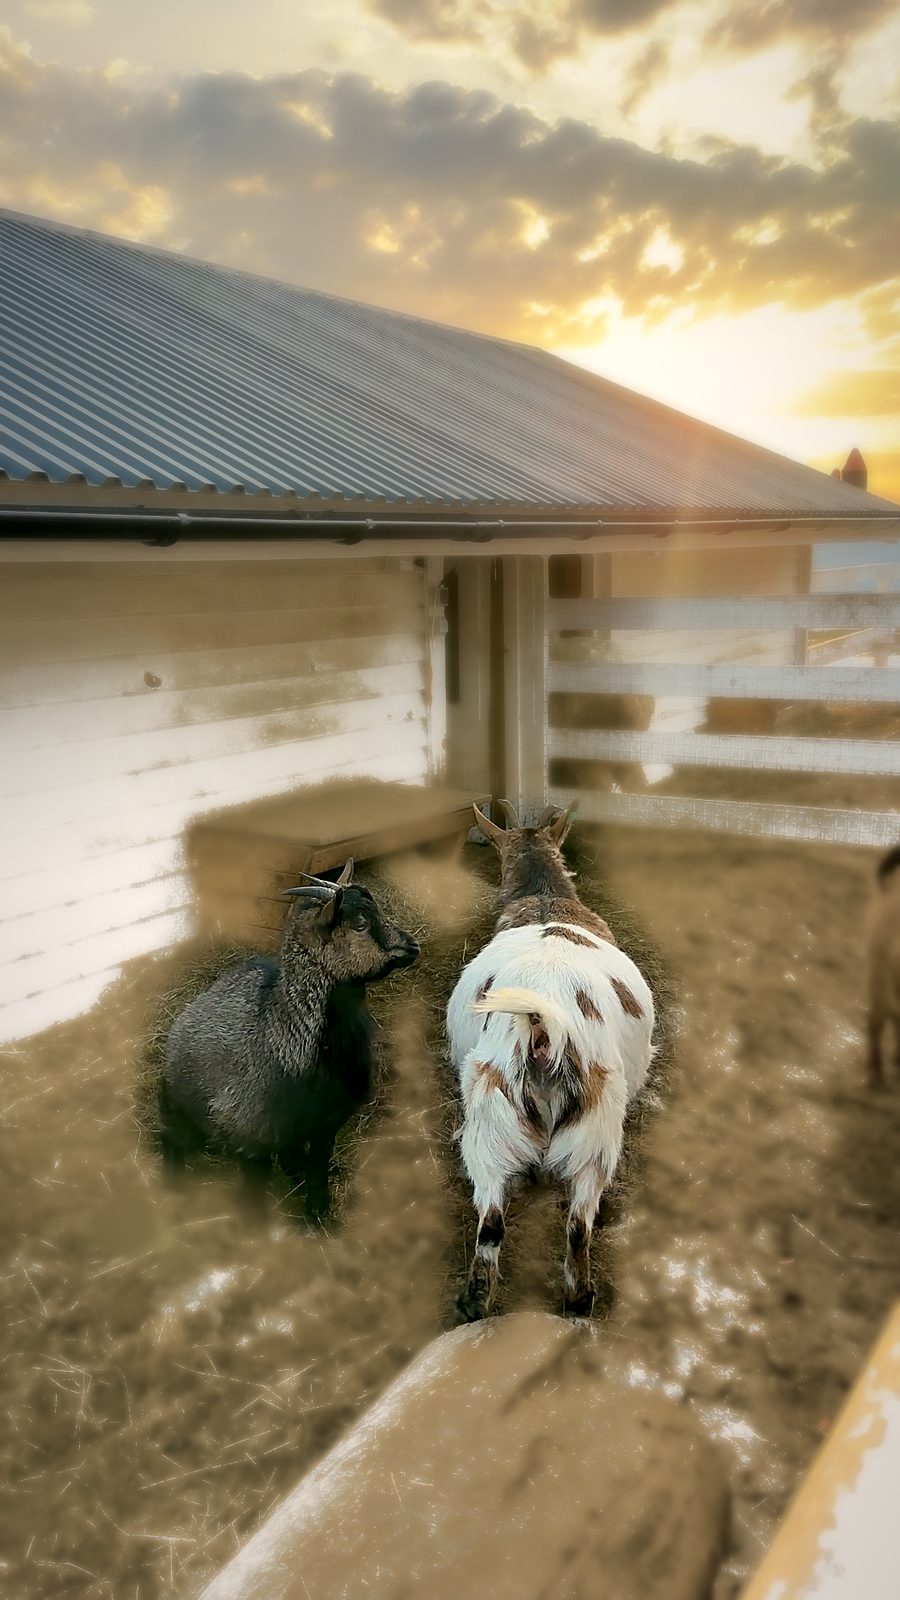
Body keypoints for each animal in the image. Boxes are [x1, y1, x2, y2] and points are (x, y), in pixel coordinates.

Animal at [160, 860, 419, 1218]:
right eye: (360, 924)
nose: (413, 946)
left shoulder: (328, 1123)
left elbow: (318, 1165)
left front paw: (319, 1212)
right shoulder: (254, 1139)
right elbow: (255, 1193)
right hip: (179, 1113)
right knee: (170, 1140)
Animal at [447, 802, 654, 1320]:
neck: (545, 900)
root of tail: (542, 1028)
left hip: (491, 1121)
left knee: (494, 1222)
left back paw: (477, 1303)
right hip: (593, 1133)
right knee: (577, 1224)